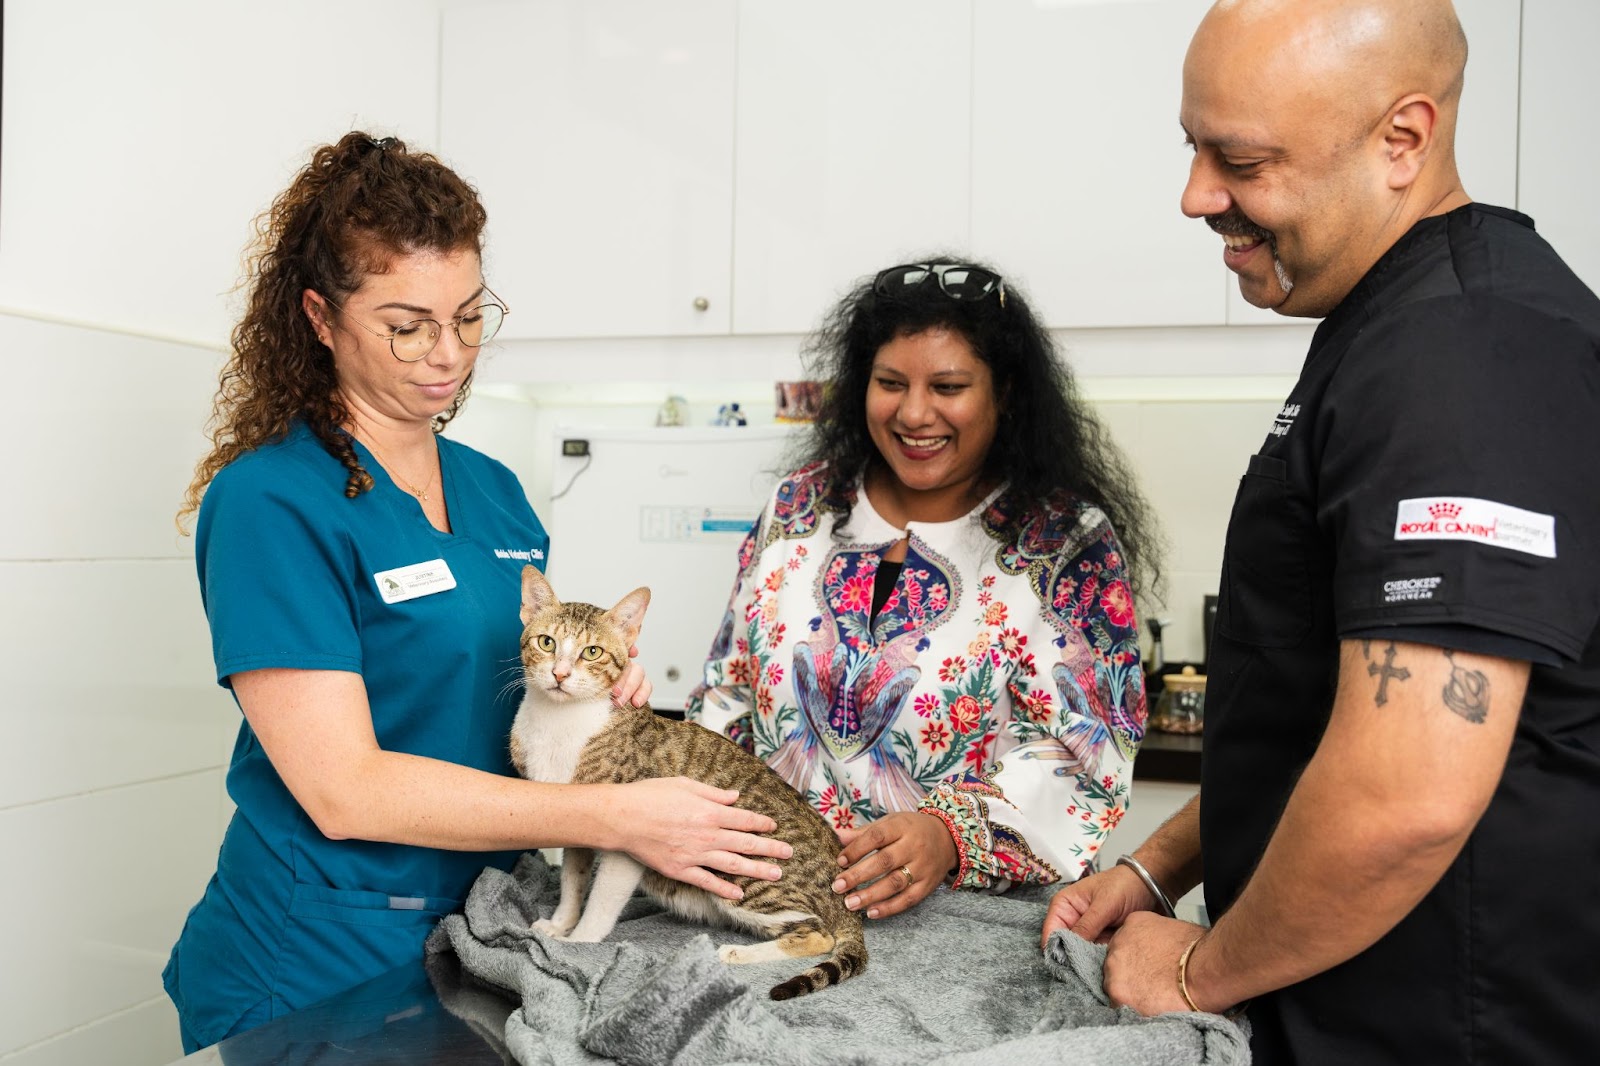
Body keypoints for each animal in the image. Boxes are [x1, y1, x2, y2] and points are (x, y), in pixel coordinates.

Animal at [508, 563, 864, 998]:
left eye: (592, 652)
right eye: (546, 643)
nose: (559, 673)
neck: (559, 722)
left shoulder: (631, 838)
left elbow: (601, 901)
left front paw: (580, 943)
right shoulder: (580, 823)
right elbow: (573, 882)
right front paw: (561, 924)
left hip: (745, 875)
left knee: (819, 934)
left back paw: (735, 953)